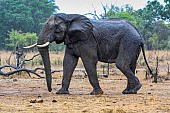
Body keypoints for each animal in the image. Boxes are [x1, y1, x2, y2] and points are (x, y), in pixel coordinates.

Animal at [23, 13, 153, 94]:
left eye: (55, 27)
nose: (50, 90)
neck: (69, 16)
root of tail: (138, 33)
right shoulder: (72, 39)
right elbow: (68, 62)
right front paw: (61, 93)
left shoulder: (87, 39)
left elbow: (89, 60)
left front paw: (96, 93)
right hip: (132, 44)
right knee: (131, 65)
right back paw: (129, 91)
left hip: (129, 42)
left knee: (121, 64)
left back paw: (135, 88)